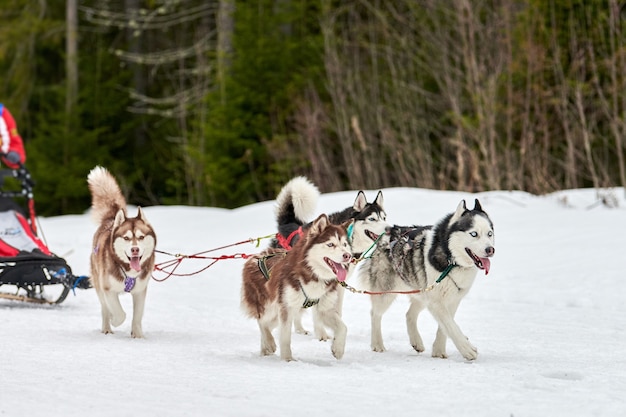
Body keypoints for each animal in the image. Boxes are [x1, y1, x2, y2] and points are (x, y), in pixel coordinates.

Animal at [87, 167, 156, 338]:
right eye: (126, 238)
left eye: (141, 237)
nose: (135, 249)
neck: (128, 272)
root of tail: (111, 219)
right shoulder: (108, 289)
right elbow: (120, 313)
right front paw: (114, 320)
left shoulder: (140, 291)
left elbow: (137, 316)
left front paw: (137, 335)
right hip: (98, 283)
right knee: (104, 308)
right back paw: (107, 327)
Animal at [241, 214, 354, 360]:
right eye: (330, 244)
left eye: (345, 244)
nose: (348, 256)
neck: (312, 273)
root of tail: (255, 257)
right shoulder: (287, 307)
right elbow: (285, 337)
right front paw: (288, 359)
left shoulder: (324, 308)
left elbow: (343, 328)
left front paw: (338, 349)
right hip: (269, 306)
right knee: (262, 321)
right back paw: (269, 343)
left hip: (278, 313)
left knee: (267, 324)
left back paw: (265, 349)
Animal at [270, 174, 388, 336]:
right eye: (372, 219)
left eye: (384, 218)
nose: (389, 228)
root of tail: (287, 225)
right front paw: (322, 335)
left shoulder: (339, 285)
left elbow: (336, 311)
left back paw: (300, 329)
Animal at [358, 200, 494, 360]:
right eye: (474, 234)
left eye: (489, 234)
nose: (490, 250)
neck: (451, 259)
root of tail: (387, 234)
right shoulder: (436, 301)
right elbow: (451, 325)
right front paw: (467, 349)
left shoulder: (452, 299)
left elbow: (445, 327)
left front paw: (439, 351)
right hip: (386, 292)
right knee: (375, 314)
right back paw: (377, 344)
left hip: (421, 292)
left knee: (409, 314)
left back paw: (416, 341)